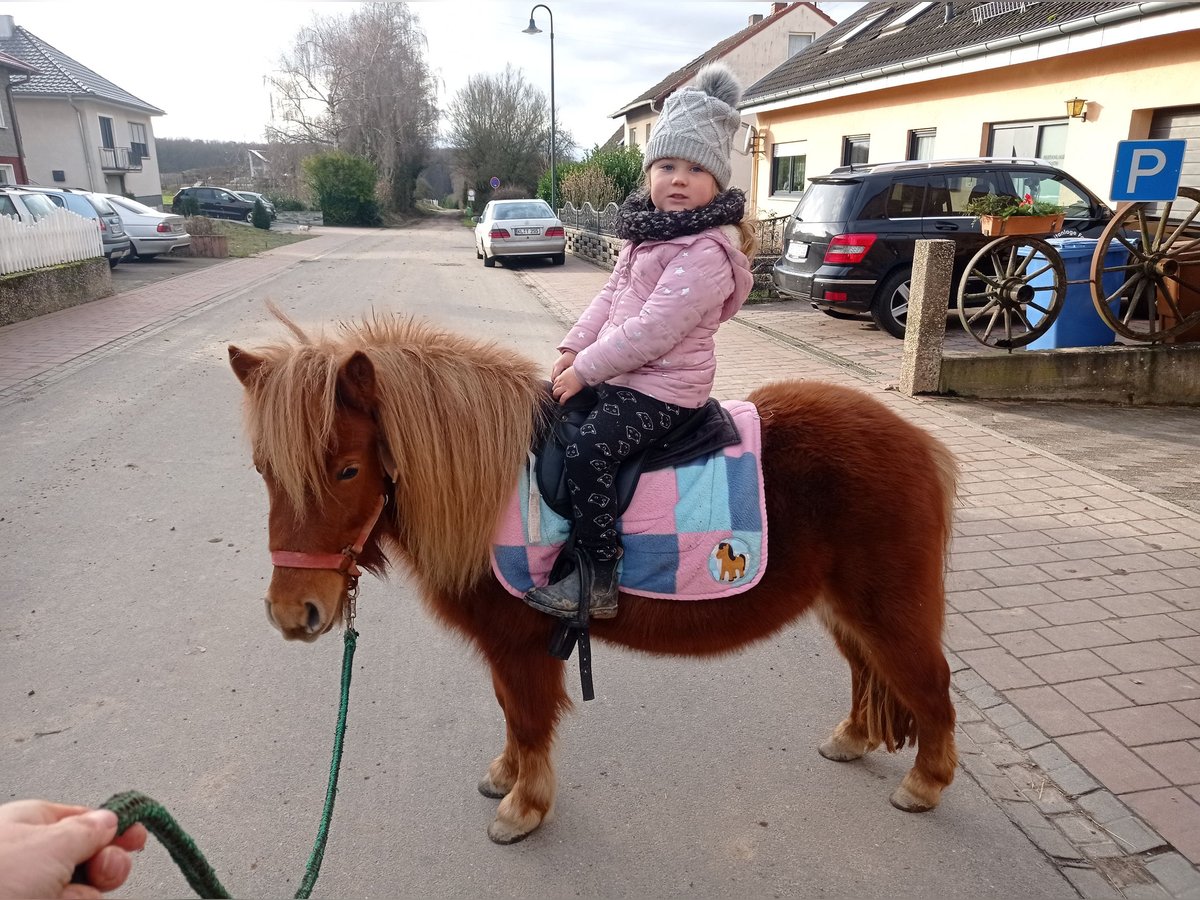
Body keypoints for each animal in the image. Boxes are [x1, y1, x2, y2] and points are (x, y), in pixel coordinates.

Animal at [229, 312, 960, 844]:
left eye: (348, 469)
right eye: (263, 468)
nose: (294, 612)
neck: (493, 487)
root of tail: (922, 443)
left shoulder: (522, 645)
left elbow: (528, 718)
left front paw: (523, 808)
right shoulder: (510, 649)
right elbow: (510, 712)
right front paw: (506, 777)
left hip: (890, 609)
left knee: (928, 684)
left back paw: (925, 784)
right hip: (845, 609)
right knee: (869, 672)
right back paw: (852, 739)